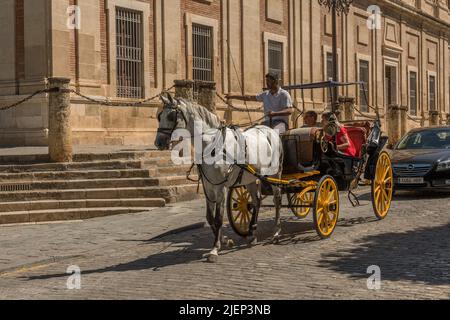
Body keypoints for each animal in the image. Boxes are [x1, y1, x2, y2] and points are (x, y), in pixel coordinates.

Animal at [154, 93, 282, 262]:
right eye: (159, 116)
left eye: (170, 116)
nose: (158, 143)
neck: (212, 145)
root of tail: (269, 130)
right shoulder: (208, 186)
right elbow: (210, 218)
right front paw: (225, 241)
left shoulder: (221, 187)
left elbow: (218, 219)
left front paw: (214, 249)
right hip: (249, 179)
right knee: (257, 201)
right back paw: (252, 233)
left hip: (275, 174)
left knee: (277, 200)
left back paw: (276, 232)